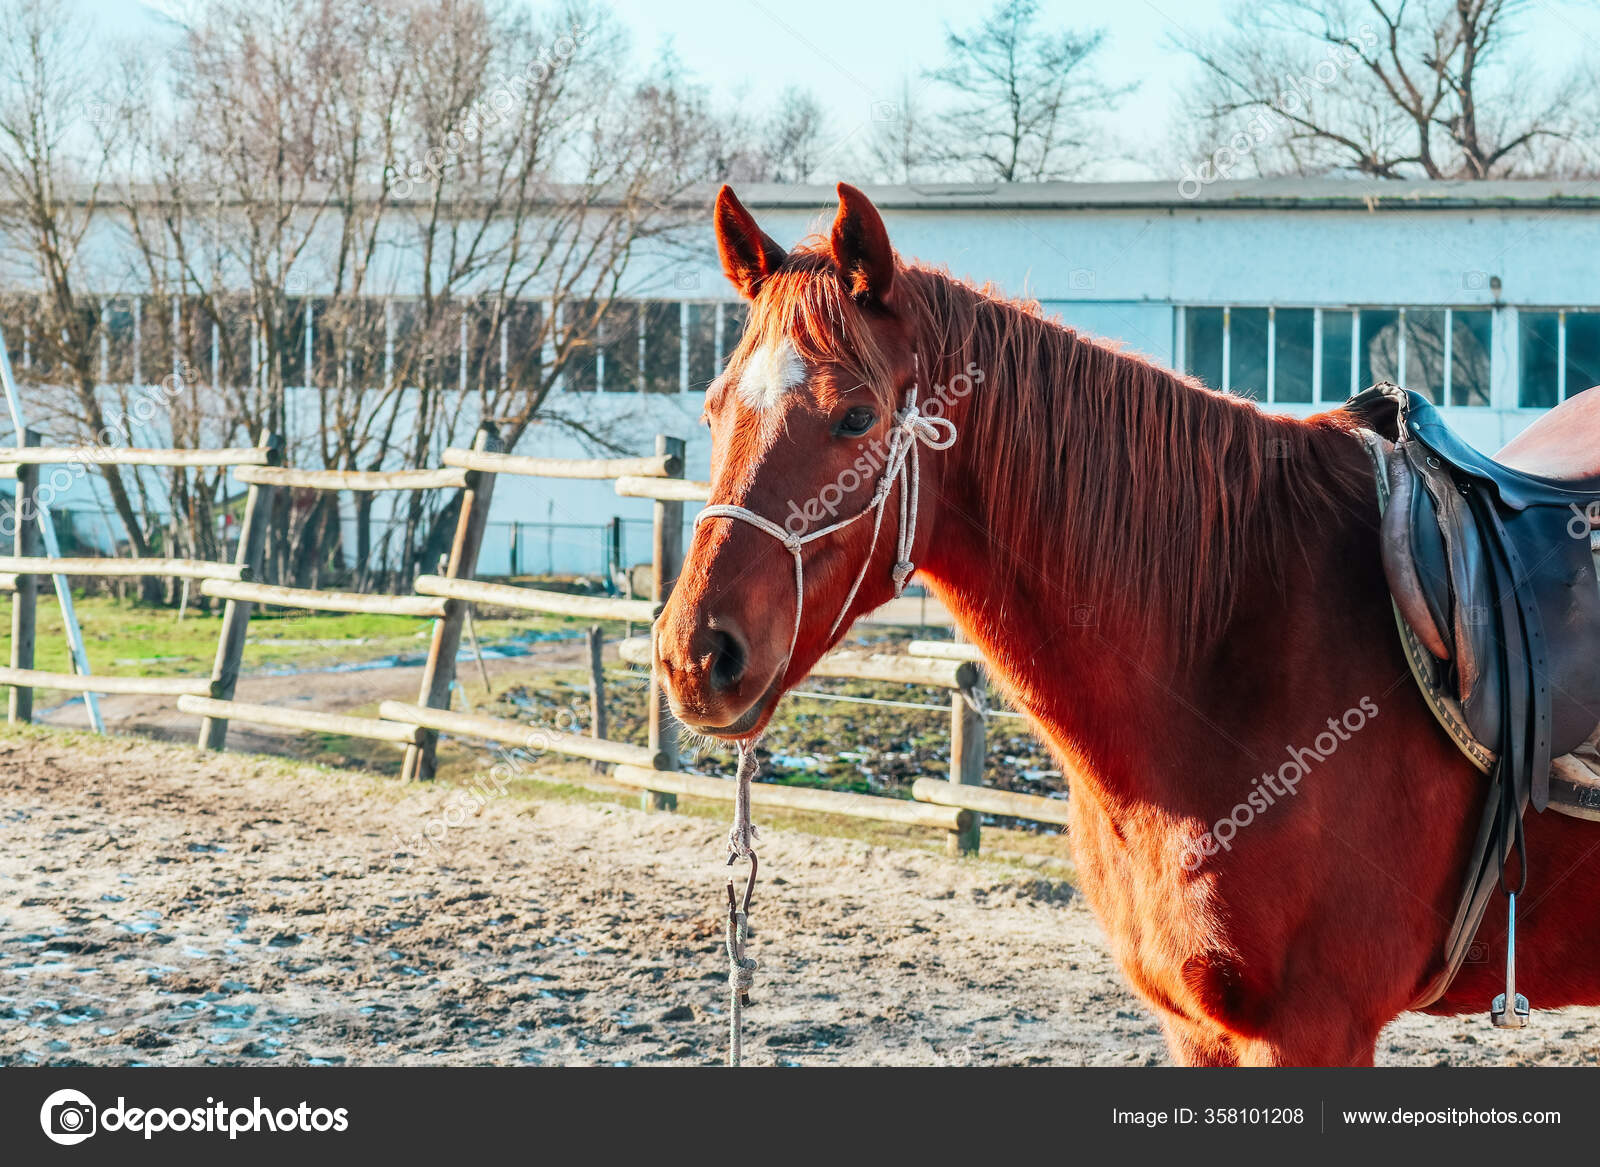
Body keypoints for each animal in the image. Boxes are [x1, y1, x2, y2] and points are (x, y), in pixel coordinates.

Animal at [652, 180, 1600, 1062]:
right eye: (713, 406)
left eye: (856, 415)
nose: (695, 657)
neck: (1229, 637)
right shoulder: (1198, 1026)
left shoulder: (1312, 1028)